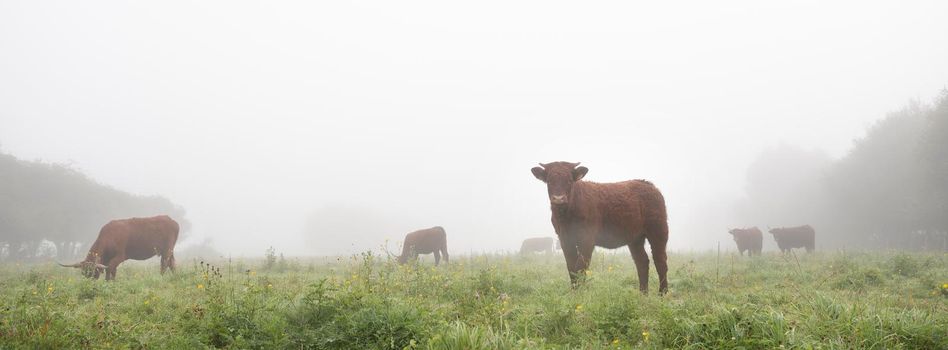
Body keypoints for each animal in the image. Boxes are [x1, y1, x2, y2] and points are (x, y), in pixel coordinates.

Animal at [528, 163, 672, 294]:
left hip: (658, 231)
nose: (559, 198)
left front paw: (579, 294)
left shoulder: (587, 240)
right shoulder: (565, 239)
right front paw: (573, 293)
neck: (566, 215)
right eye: (549, 181)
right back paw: (643, 293)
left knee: (660, 261)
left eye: (569, 180)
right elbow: (571, 268)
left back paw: (662, 293)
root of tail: (649, 185)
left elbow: (580, 267)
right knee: (642, 262)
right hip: (635, 238)